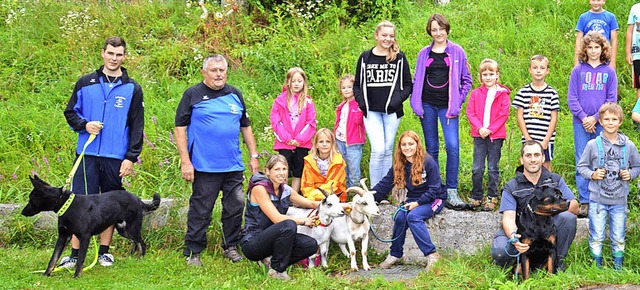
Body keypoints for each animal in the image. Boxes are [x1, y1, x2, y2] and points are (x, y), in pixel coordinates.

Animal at [21, 176, 161, 278]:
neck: (66, 206)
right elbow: (53, 258)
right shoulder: (63, 237)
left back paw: (140, 258)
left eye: (31, 200)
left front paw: (76, 275)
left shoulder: (84, 237)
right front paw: (46, 274)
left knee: (142, 243)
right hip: (123, 229)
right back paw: (131, 256)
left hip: (132, 228)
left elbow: (80, 259)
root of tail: (137, 199)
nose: (22, 212)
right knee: (135, 242)